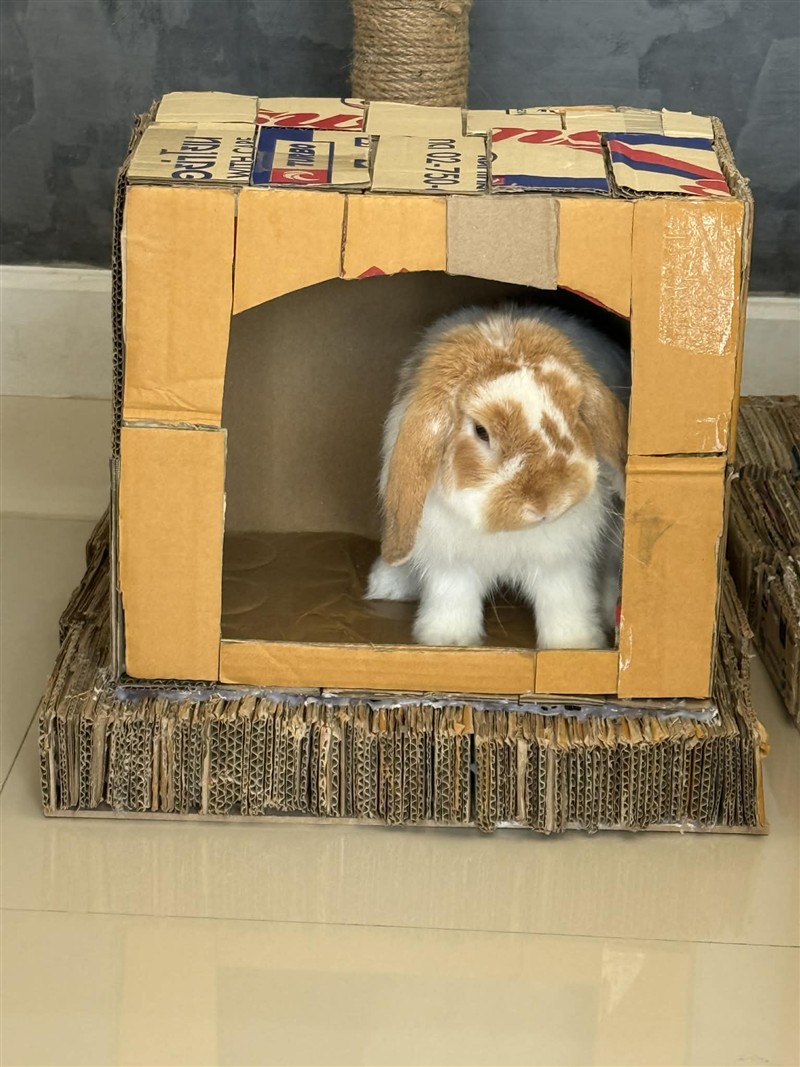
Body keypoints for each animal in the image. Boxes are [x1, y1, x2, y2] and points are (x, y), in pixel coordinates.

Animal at [364, 304, 630, 650]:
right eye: (481, 431)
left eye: (576, 412)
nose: (548, 504)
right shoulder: (452, 563)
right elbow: (453, 599)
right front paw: (450, 641)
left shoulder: (562, 562)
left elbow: (563, 601)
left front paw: (573, 644)